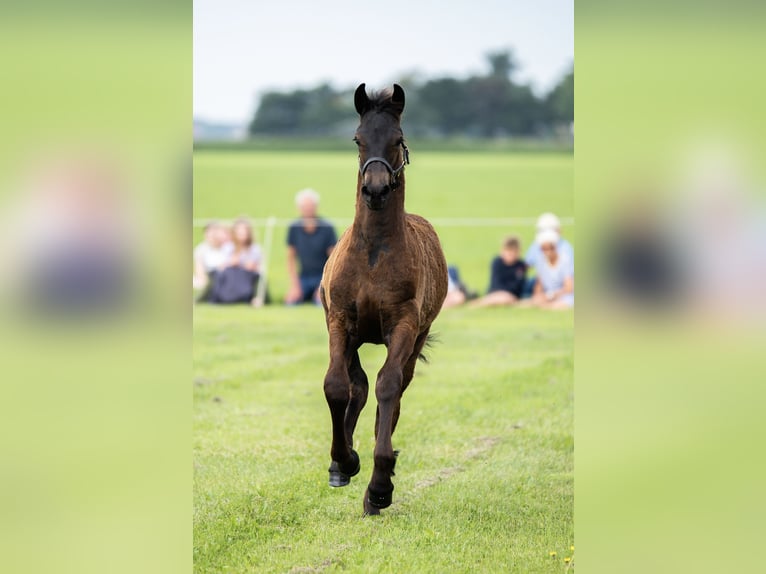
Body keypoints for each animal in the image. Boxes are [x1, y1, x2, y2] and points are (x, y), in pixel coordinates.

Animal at [319, 83, 448, 515]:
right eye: (358, 139)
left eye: (397, 139)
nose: (375, 189)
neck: (374, 253)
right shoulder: (340, 319)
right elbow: (337, 386)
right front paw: (343, 462)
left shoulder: (404, 325)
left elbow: (388, 386)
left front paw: (379, 485)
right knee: (357, 384)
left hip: (416, 336)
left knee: (393, 389)